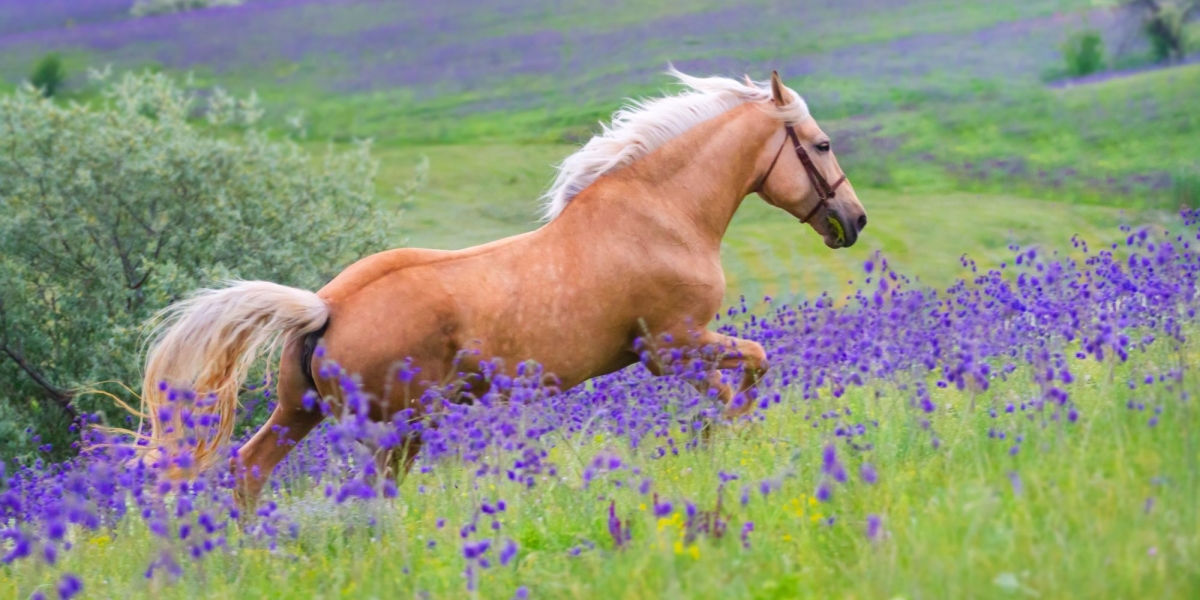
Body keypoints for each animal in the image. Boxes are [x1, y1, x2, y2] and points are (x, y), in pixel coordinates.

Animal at [140, 69, 868, 501]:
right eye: (822, 145)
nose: (853, 220)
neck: (661, 216)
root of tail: (325, 306)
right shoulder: (674, 346)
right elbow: (748, 374)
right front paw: (723, 444)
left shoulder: (670, 352)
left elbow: (740, 383)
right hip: (397, 425)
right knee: (369, 490)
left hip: (302, 411)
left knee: (249, 468)